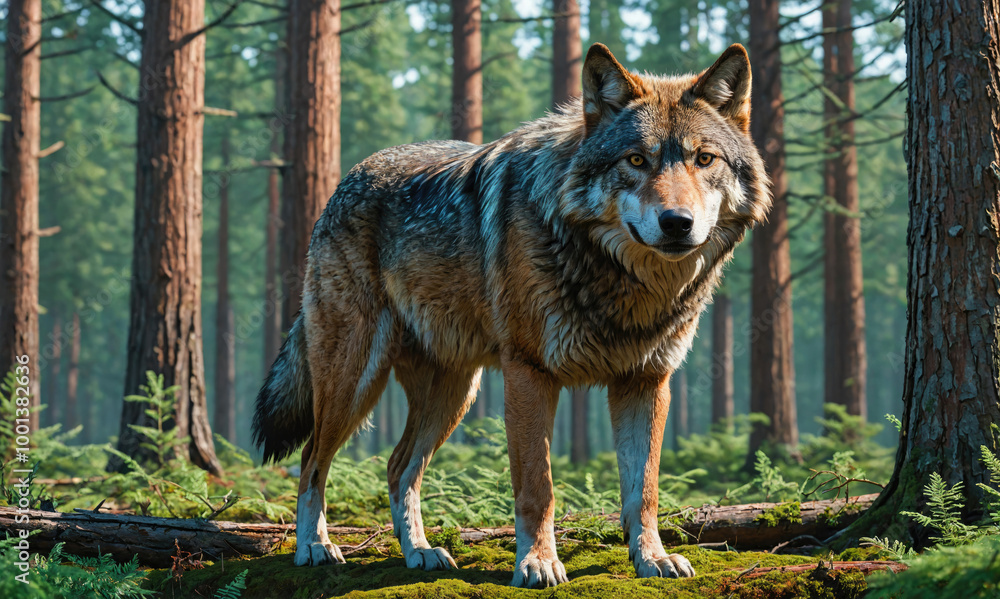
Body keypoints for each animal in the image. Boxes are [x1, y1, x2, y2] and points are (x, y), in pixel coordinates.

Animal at [253, 43, 769, 588]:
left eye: (704, 159)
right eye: (636, 159)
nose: (677, 223)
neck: (623, 283)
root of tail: (347, 179)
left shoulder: (646, 381)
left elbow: (643, 492)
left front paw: (653, 558)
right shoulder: (529, 373)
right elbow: (537, 487)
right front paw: (537, 563)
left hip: (453, 395)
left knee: (397, 467)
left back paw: (420, 552)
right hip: (354, 381)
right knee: (312, 460)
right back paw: (314, 546)